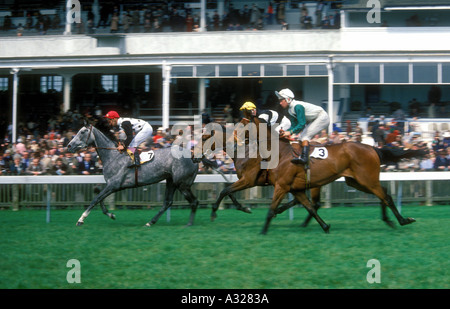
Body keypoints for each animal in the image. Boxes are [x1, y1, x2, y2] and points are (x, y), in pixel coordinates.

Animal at [67, 118, 200, 226]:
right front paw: (111, 215)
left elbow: (96, 199)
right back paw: (150, 222)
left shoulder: (113, 185)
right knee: (168, 202)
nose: (69, 146)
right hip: (171, 181)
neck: (113, 156)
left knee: (194, 201)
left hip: (182, 184)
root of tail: (193, 157)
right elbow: (99, 198)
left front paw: (81, 219)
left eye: (82, 132)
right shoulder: (112, 186)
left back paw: (189, 224)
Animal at [203, 115, 426, 233]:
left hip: (365, 179)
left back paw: (402, 220)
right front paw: (325, 226)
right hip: (355, 181)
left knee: (385, 195)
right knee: (382, 194)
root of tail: (372, 148)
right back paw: (390, 220)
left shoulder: (265, 182)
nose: (236, 139)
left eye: (243, 125)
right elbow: (308, 206)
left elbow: (227, 191)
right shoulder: (287, 186)